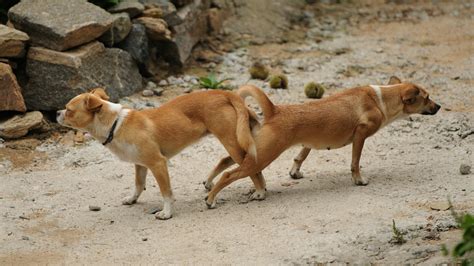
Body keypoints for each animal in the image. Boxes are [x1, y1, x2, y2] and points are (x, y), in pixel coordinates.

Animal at [57, 88, 264, 219]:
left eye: (69, 110)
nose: (56, 113)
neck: (115, 124)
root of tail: (224, 93)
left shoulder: (158, 164)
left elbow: (166, 192)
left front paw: (167, 213)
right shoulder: (140, 165)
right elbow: (138, 185)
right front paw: (132, 199)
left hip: (232, 141)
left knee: (252, 168)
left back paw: (260, 191)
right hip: (233, 142)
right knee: (230, 161)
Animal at [205, 76, 440, 207]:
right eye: (427, 98)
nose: (439, 107)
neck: (381, 98)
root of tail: (274, 110)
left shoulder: (308, 142)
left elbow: (301, 156)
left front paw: (295, 172)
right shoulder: (360, 135)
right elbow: (355, 162)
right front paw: (358, 179)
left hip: (255, 149)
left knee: (226, 160)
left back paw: (210, 183)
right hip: (263, 155)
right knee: (229, 174)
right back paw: (211, 199)